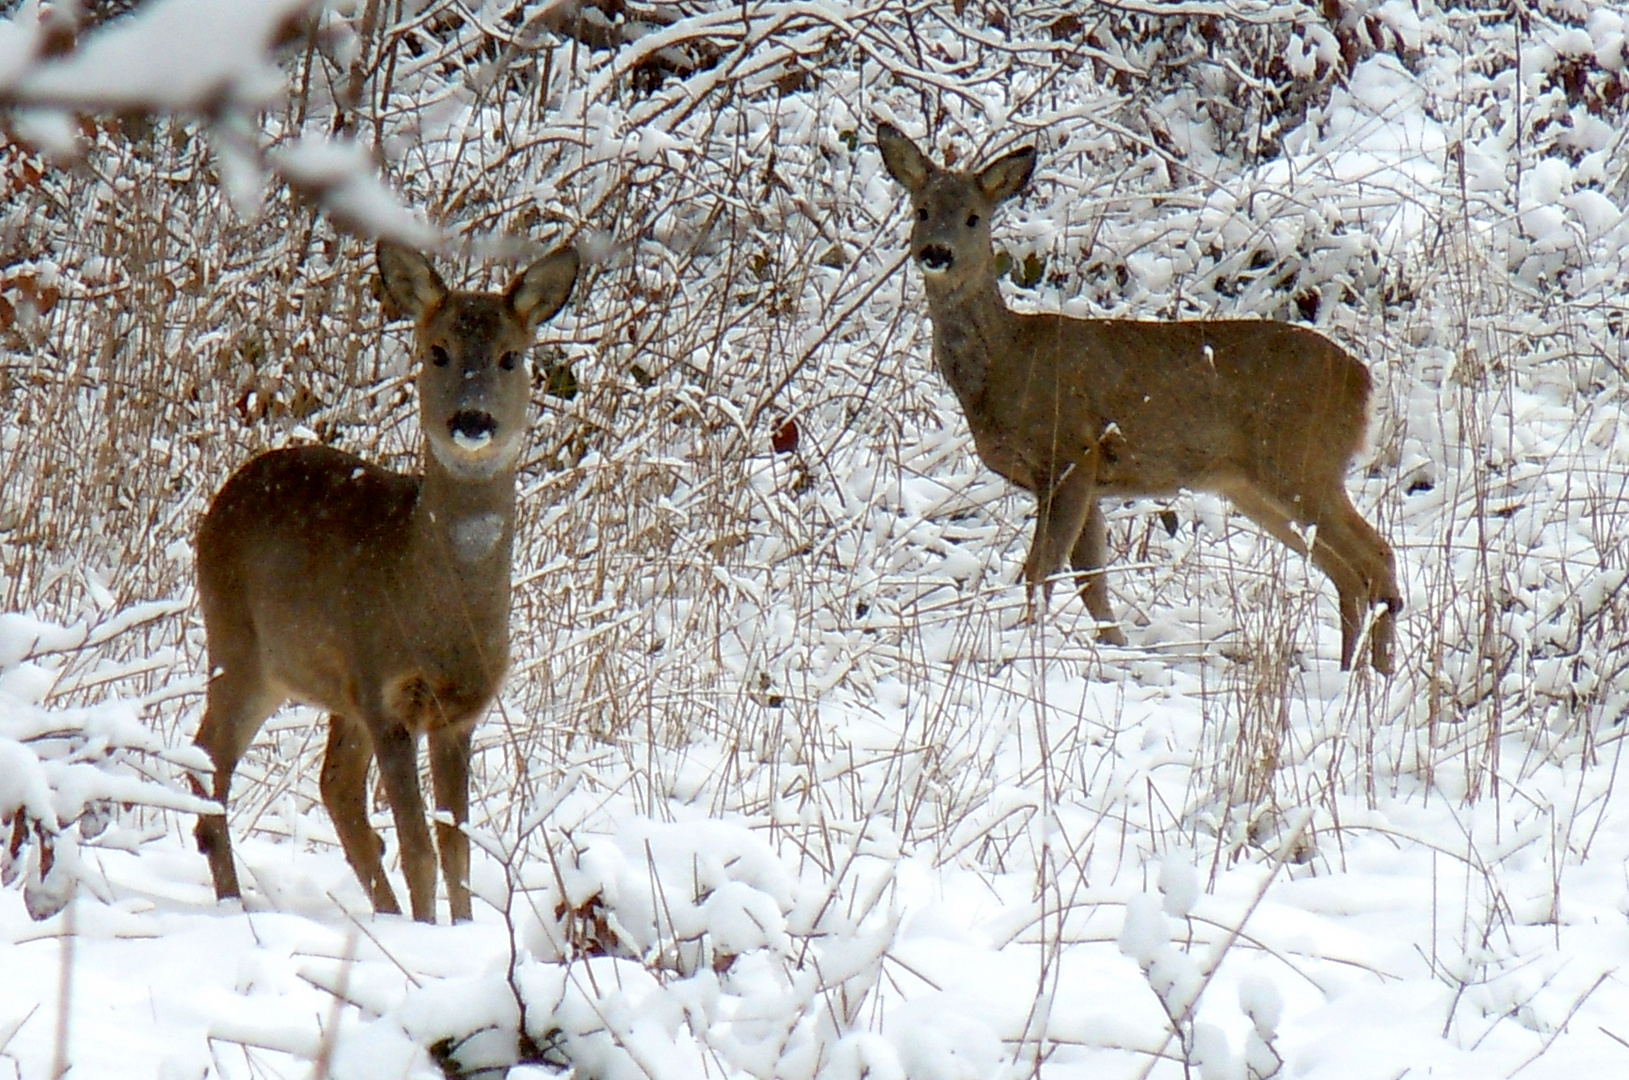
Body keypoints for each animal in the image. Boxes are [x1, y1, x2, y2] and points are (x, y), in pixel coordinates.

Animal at [190, 239, 579, 918]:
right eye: (437, 350)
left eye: (512, 356)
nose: (472, 421)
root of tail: (220, 502)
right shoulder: (386, 692)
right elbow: (419, 847)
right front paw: (430, 932)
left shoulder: (457, 712)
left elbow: (457, 850)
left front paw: (459, 928)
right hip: (240, 646)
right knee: (210, 754)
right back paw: (232, 900)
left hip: (330, 685)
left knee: (333, 784)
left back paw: (382, 912)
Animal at [879, 127, 1400, 677]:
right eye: (921, 209)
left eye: (974, 217)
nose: (936, 253)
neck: (1007, 361)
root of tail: (1362, 381)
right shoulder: (1086, 480)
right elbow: (1091, 579)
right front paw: (1115, 649)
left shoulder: (1070, 455)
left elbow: (1041, 569)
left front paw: (1029, 647)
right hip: (1252, 484)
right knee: (1345, 570)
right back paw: (1351, 675)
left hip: (1301, 460)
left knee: (1376, 556)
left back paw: (1379, 675)